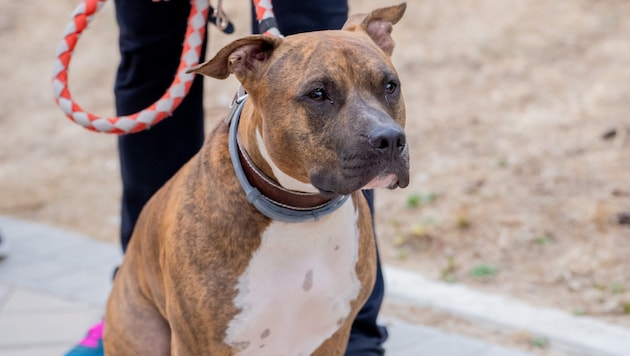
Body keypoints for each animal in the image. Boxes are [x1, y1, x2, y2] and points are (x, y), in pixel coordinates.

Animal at [103, 2, 410, 354]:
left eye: (390, 86)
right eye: (318, 94)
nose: (390, 139)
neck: (300, 215)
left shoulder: (333, 336)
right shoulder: (197, 342)